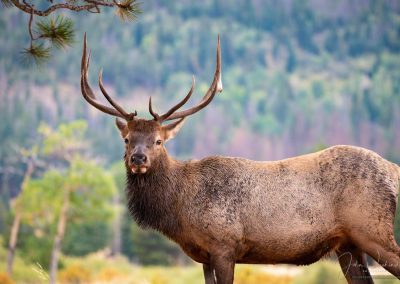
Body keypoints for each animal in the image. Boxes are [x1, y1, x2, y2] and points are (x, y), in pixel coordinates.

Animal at [80, 33, 400, 284]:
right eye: (127, 139)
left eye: (159, 141)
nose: (138, 158)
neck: (180, 209)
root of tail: (393, 169)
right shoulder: (204, 256)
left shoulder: (224, 245)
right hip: (348, 244)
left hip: (373, 229)